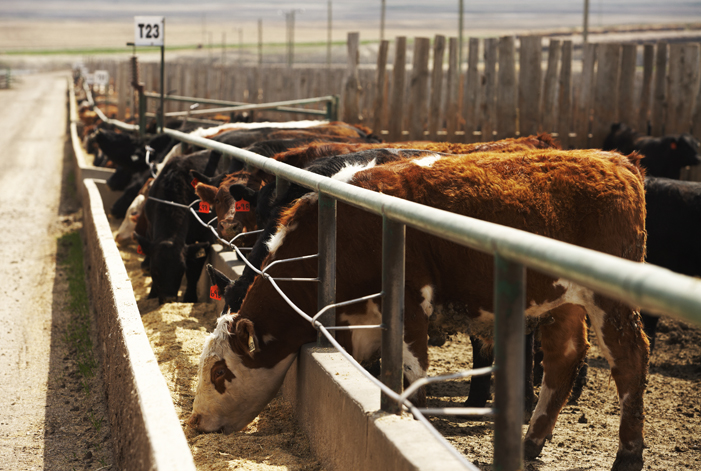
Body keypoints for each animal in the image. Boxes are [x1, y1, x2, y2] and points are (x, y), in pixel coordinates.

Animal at [189, 150, 648, 471]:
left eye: (220, 373)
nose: (195, 421)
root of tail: (615, 160)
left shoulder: (408, 302)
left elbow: (413, 372)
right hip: (563, 301)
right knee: (563, 358)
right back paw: (530, 443)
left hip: (611, 302)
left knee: (629, 361)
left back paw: (627, 455)